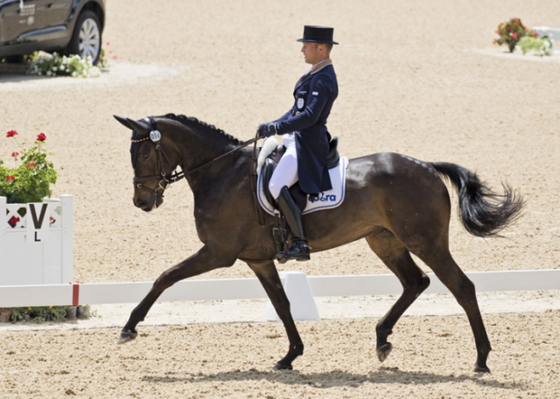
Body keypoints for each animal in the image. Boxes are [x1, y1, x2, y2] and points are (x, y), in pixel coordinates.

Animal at [114, 113, 524, 376]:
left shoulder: (219, 252)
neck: (222, 172)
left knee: (460, 286)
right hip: (384, 240)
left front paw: (129, 328)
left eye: (144, 152)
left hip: (425, 241)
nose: (141, 201)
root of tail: (426, 166)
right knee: (415, 282)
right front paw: (290, 356)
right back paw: (381, 339)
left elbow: (165, 277)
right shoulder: (257, 259)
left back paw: (482, 359)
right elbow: (281, 304)